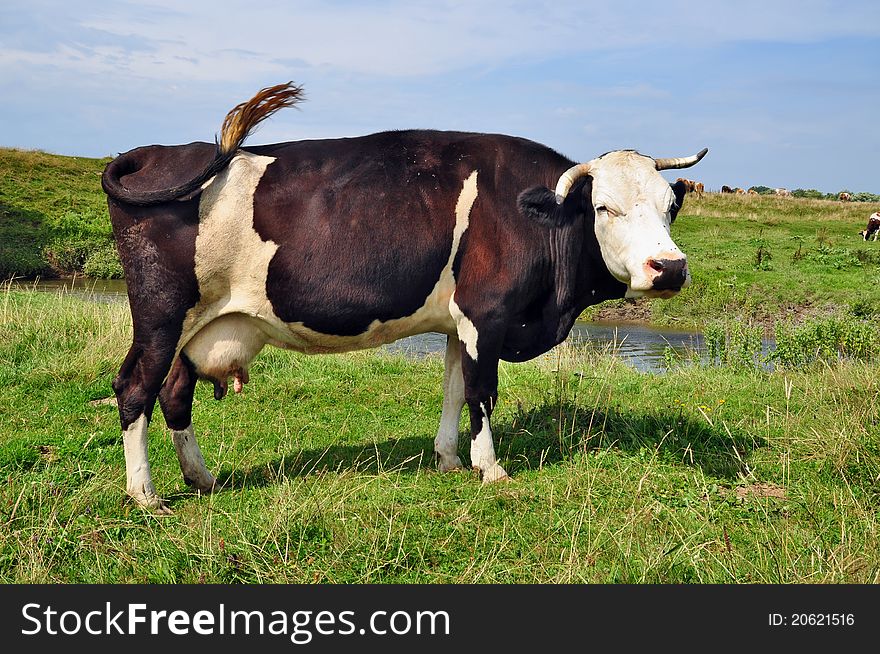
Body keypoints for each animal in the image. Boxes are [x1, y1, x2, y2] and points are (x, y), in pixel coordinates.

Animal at [99, 82, 712, 512]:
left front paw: (449, 459)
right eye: (605, 207)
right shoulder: (486, 316)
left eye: (670, 206)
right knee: (135, 388)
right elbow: (482, 393)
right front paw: (491, 468)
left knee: (175, 393)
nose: (669, 268)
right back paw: (145, 495)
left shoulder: (459, 323)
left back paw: (200, 478)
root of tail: (157, 152)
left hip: (203, 325)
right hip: (161, 316)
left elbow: (454, 391)